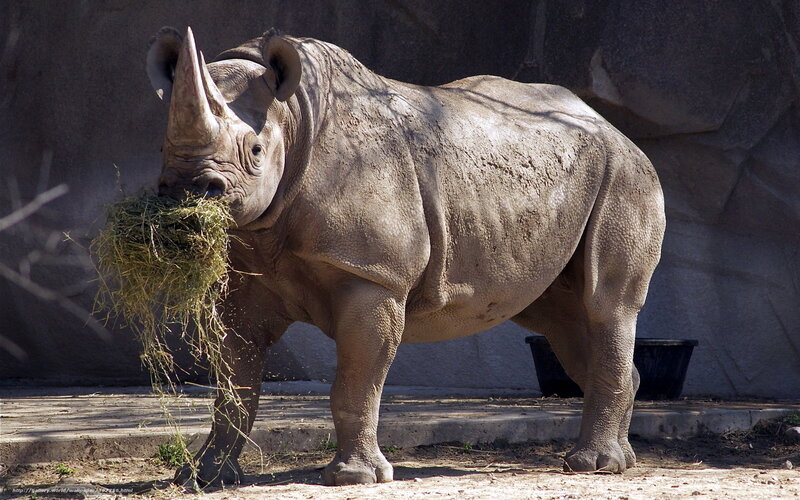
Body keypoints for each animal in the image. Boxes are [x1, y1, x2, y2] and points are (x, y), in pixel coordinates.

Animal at [145, 26, 665, 487]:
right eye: (162, 148)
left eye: (255, 151)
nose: (189, 191)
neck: (292, 117)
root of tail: (613, 127)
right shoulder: (244, 278)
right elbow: (234, 386)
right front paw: (203, 477)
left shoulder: (374, 275)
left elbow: (357, 380)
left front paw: (354, 478)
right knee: (560, 318)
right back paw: (620, 459)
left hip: (626, 175)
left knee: (607, 305)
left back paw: (595, 466)